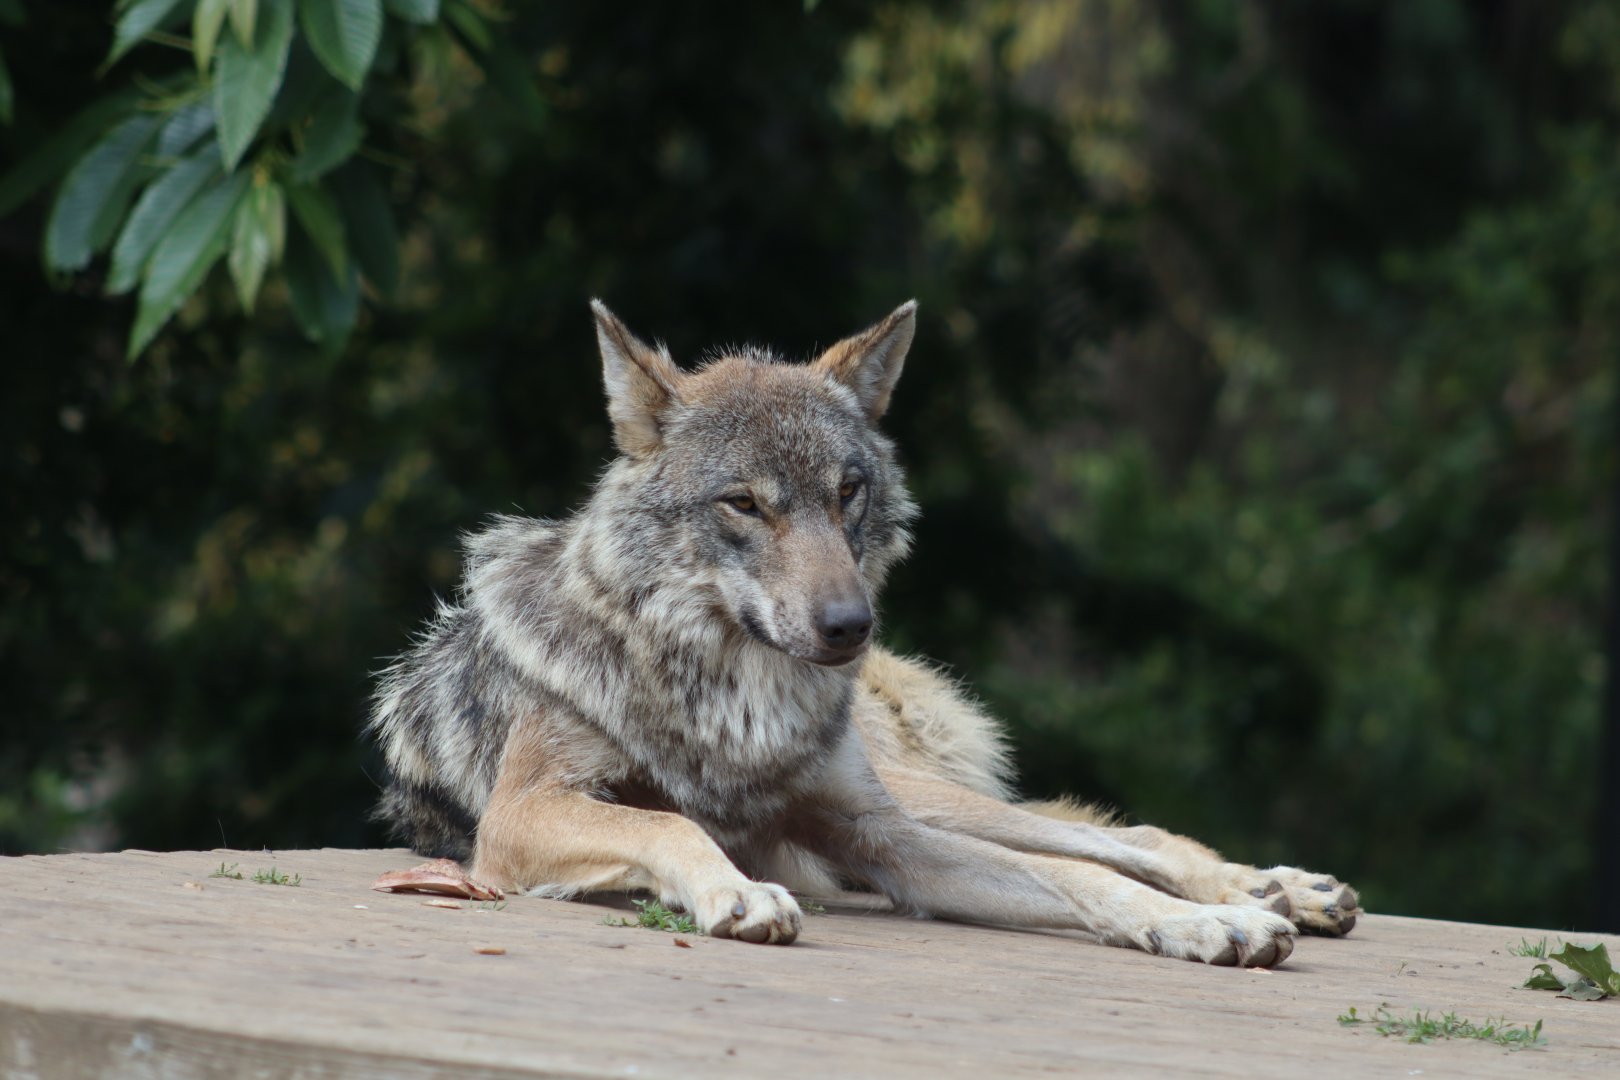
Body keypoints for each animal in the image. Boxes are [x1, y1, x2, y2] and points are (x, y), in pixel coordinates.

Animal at [368, 300, 1360, 965]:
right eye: (745, 504)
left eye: (847, 491)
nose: (852, 625)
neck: (734, 702)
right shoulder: (521, 815)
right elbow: (669, 824)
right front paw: (736, 892)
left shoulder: (878, 833)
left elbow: (1087, 879)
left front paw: (1209, 922)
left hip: (920, 798)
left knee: (1118, 837)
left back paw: (1276, 891)